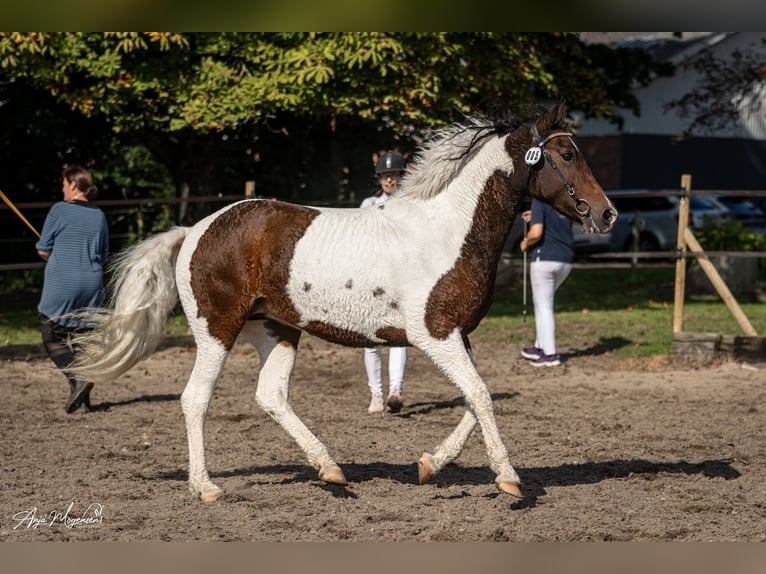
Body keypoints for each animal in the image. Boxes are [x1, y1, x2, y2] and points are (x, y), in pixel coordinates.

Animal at [66, 102, 616, 504]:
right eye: (567, 155)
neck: (450, 230)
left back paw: (330, 469)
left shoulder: (457, 337)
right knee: (195, 399)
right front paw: (509, 480)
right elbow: (480, 396)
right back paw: (206, 487)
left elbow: (473, 399)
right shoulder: (435, 335)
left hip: (277, 330)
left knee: (271, 396)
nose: (606, 213)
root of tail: (196, 229)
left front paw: (429, 465)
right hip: (216, 329)